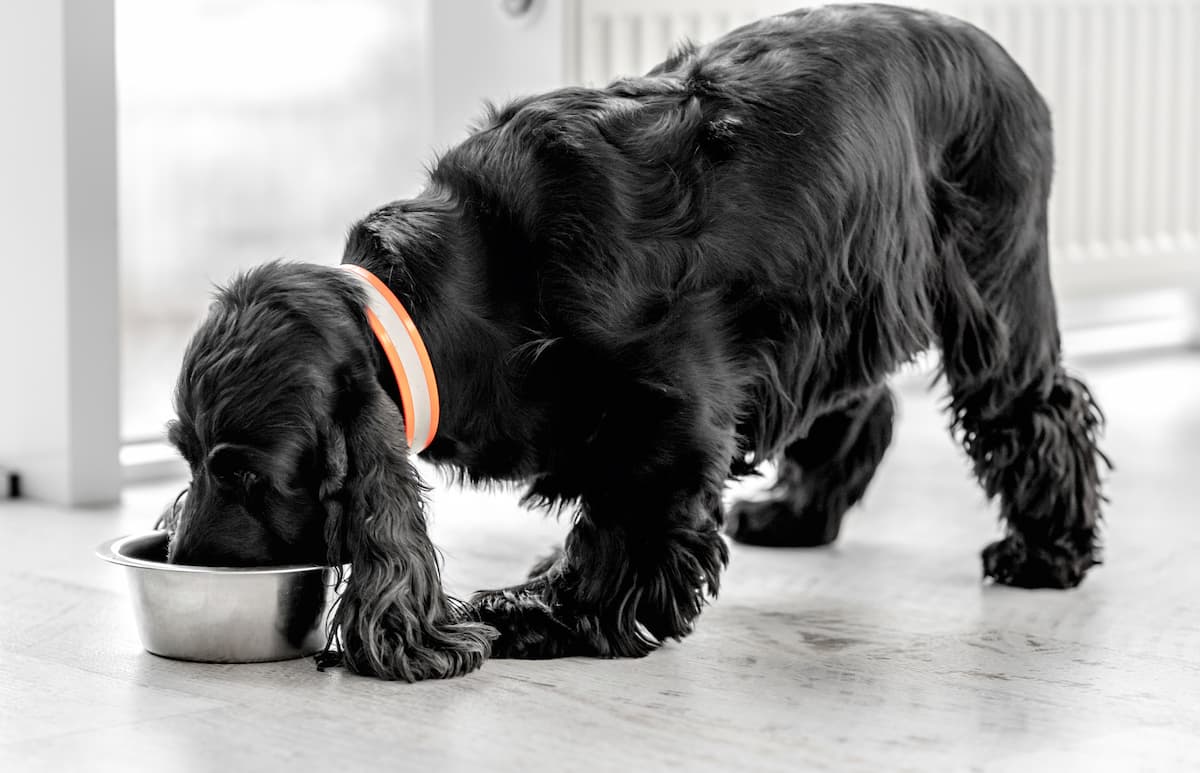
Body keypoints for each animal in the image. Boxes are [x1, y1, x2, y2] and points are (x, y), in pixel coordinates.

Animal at [164, 3, 1108, 681]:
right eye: (184, 453)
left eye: (246, 474)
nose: (182, 560)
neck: (482, 281)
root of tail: (1004, 59)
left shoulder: (672, 418)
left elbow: (621, 529)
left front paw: (538, 613)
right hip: (843, 294)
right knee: (859, 404)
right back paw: (798, 513)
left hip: (993, 285)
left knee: (1039, 408)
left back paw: (1047, 552)